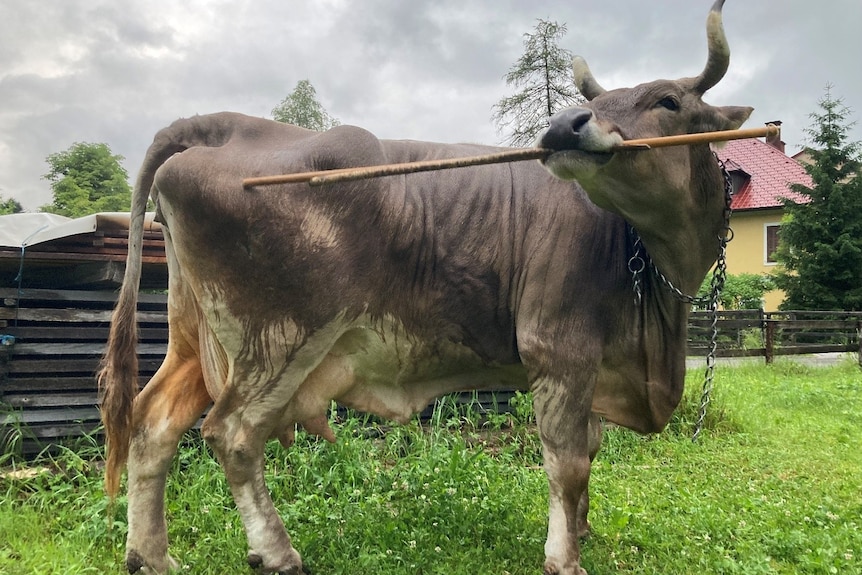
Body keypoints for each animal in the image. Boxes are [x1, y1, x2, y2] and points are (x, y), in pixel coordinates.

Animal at [99, 1, 751, 573]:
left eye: (667, 100)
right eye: (600, 101)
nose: (565, 125)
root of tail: (226, 126)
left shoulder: (595, 366)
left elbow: (589, 451)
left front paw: (584, 531)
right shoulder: (558, 350)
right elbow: (567, 464)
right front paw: (564, 557)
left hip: (197, 338)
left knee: (153, 424)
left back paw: (151, 556)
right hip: (280, 339)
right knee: (232, 435)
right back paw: (277, 553)